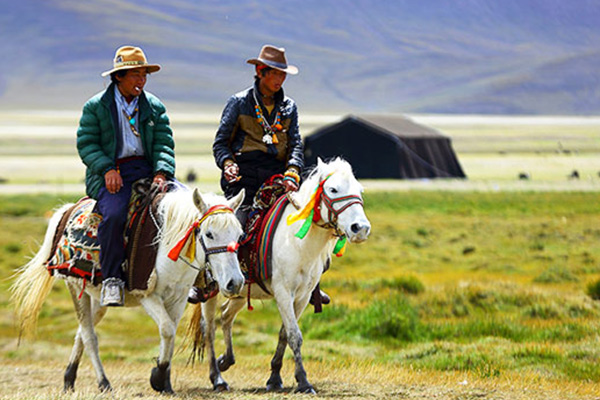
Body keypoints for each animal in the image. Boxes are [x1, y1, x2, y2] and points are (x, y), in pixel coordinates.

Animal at [9, 188, 244, 394]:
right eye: (209, 234)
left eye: (240, 234)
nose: (235, 282)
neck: (167, 246)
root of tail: (68, 209)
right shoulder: (148, 295)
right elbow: (167, 329)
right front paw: (157, 376)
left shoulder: (177, 299)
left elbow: (170, 335)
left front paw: (165, 383)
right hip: (75, 287)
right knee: (89, 335)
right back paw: (103, 383)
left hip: (98, 298)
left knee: (80, 334)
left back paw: (69, 379)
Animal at [191, 157, 370, 394]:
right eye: (333, 189)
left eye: (359, 190)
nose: (361, 228)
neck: (298, 242)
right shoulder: (284, 293)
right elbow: (295, 335)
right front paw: (303, 381)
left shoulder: (302, 297)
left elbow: (285, 334)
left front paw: (275, 377)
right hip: (212, 291)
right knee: (209, 328)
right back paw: (217, 377)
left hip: (239, 291)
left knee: (226, 315)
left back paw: (225, 360)